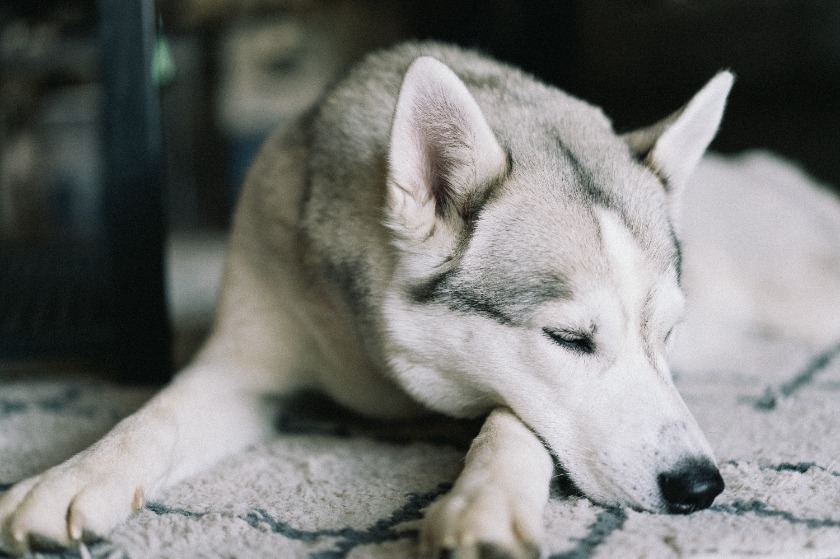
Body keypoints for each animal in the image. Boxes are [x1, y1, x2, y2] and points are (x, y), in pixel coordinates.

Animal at [0, 41, 732, 556]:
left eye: (666, 333)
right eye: (569, 339)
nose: (702, 485)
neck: (374, 361)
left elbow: (513, 421)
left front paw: (486, 501)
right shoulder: (243, 366)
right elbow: (152, 419)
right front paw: (70, 478)